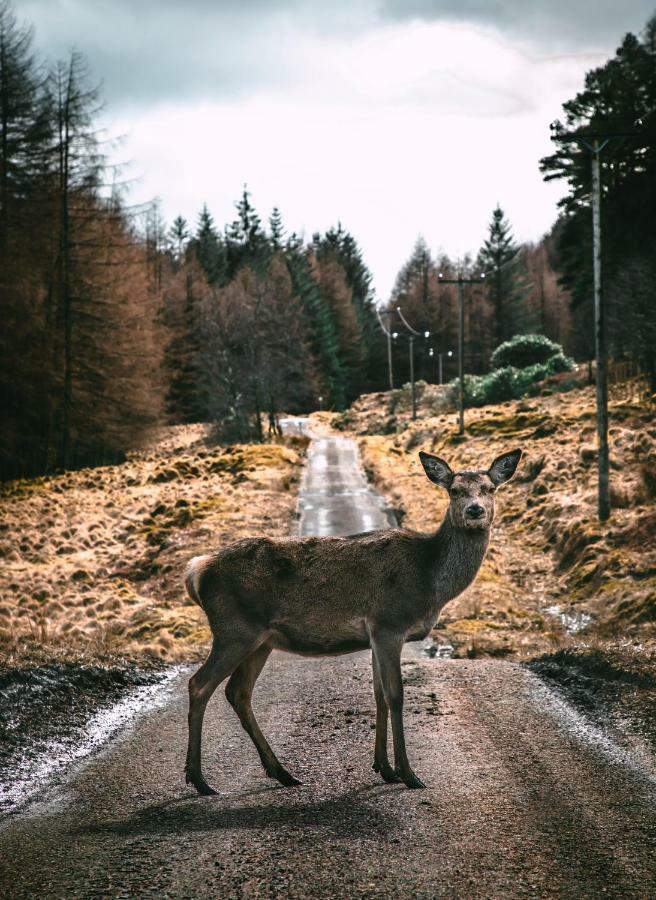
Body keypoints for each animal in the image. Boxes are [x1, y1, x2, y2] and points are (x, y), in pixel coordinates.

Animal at [184, 446, 524, 792]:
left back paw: (281, 772)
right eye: (454, 490)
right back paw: (199, 779)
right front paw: (408, 773)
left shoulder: (374, 635)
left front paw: (384, 768)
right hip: (234, 630)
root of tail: (197, 570)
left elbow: (379, 696)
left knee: (238, 692)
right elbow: (396, 696)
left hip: (260, 640)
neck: (427, 580)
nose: (474, 510)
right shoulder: (389, 623)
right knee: (200, 684)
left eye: (490, 488)